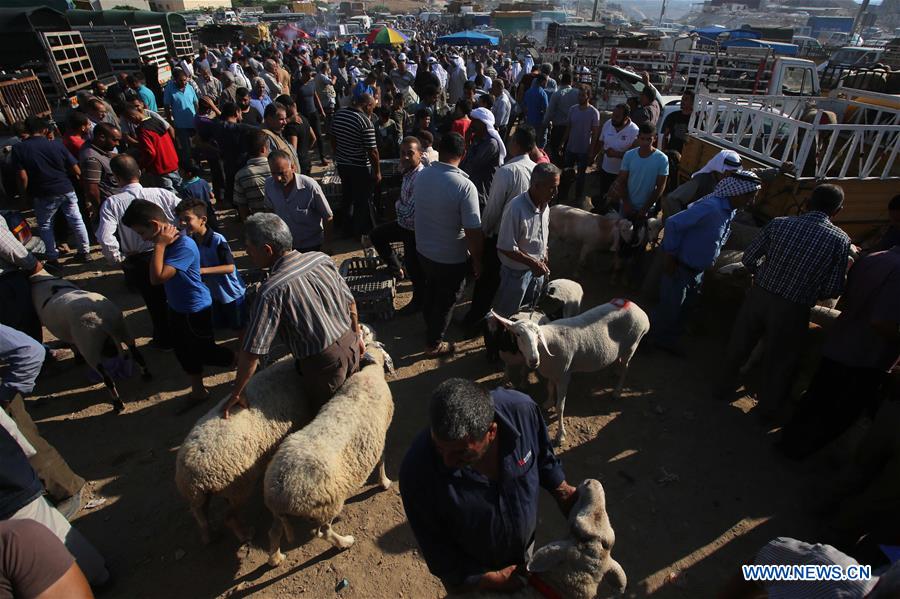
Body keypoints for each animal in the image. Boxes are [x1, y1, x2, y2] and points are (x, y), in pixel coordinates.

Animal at [29, 270, 149, 410]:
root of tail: (102, 320)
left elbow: (71, 344)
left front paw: (78, 359)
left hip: (89, 347)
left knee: (108, 379)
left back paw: (118, 404)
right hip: (123, 330)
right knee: (137, 355)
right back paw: (146, 375)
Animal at [266, 340, 396, 564]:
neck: (370, 373)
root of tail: (279, 489)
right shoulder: (381, 436)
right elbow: (381, 461)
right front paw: (385, 483)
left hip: (279, 513)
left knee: (274, 532)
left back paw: (276, 558)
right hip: (327, 504)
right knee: (322, 532)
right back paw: (344, 542)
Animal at [488, 300, 652, 446]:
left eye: (538, 336)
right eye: (517, 335)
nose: (534, 360)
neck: (546, 348)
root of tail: (639, 310)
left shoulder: (564, 375)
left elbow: (560, 407)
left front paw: (560, 435)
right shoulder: (553, 371)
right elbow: (549, 387)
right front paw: (548, 402)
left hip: (633, 345)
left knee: (626, 368)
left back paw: (617, 391)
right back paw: (614, 372)